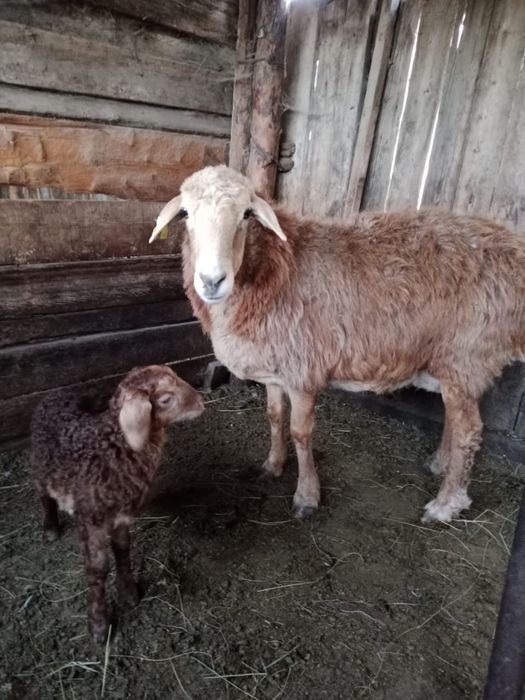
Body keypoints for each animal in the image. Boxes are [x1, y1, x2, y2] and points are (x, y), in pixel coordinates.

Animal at [31, 365, 204, 642]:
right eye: (166, 399)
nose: (201, 402)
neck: (111, 450)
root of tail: (55, 392)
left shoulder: (122, 517)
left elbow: (123, 551)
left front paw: (129, 593)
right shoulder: (92, 521)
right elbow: (98, 568)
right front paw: (99, 624)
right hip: (39, 465)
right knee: (43, 495)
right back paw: (50, 528)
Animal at [150, 165, 525, 524]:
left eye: (246, 214)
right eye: (185, 213)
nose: (212, 280)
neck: (275, 270)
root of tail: (513, 250)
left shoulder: (303, 371)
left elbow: (300, 433)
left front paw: (306, 496)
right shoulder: (275, 369)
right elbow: (274, 417)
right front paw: (273, 465)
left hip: (468, 354)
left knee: (470, 431)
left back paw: (446, 504)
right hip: (451, 361)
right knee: (454, 418)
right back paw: (440, 465)